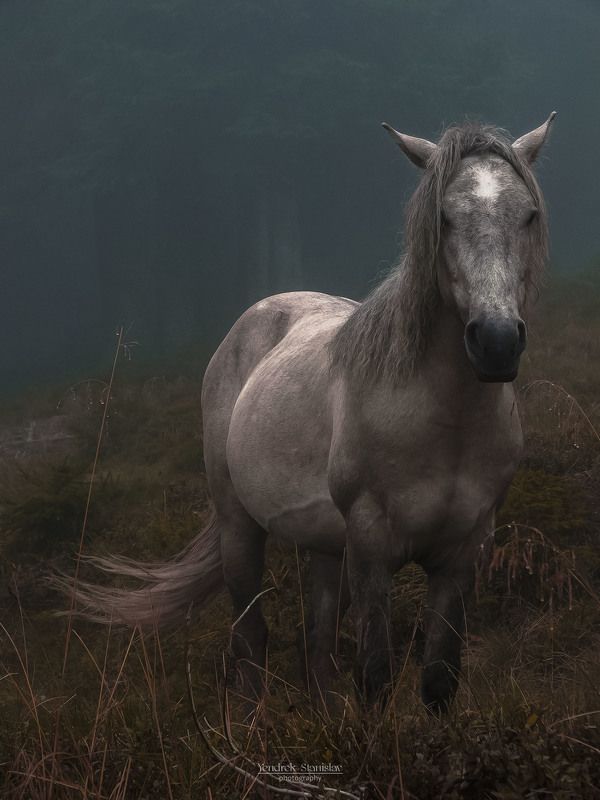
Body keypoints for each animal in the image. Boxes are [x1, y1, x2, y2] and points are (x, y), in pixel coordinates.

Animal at [70, 114, 555, 714]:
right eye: (443, 216)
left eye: (527, 214)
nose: (496, 342)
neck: (445, 425)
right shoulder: (371, 547)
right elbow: (375, 674)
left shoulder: (465, 552)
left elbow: (439, 679)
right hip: (240, 528)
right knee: (251, 638)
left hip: (326, 550)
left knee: (317, 646)